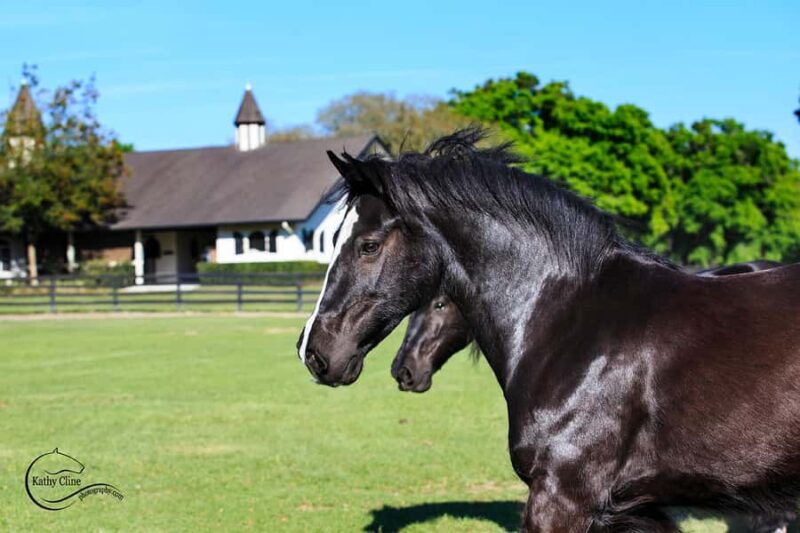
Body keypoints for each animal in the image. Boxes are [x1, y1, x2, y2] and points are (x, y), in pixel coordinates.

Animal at [296, 130, 800, 532]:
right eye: (330, 239)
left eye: (367, 245)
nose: (314, 352)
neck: (573, 327)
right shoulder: (640, 511)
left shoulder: (562, 498)